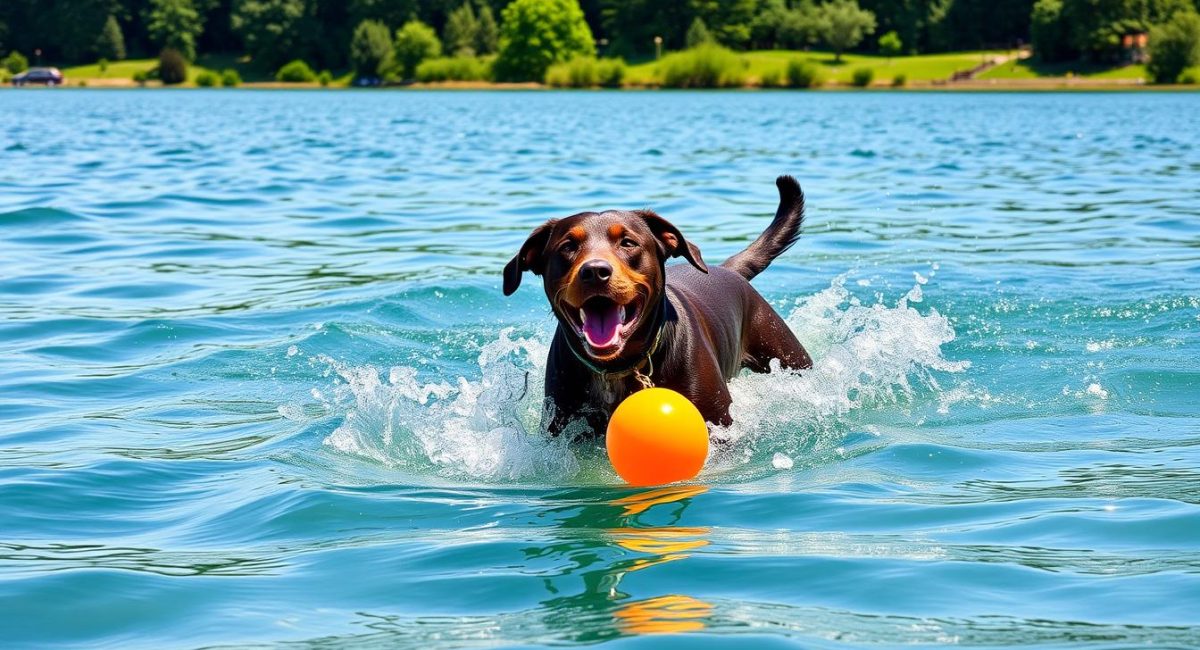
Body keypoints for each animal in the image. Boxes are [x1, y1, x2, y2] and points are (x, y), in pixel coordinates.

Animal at [501, 176, 811, 441]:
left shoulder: (718, 425)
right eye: (567, 246)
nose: (595, 271)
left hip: (784, 350)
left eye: (628, 242)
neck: (617, 370)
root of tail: (728, 270)